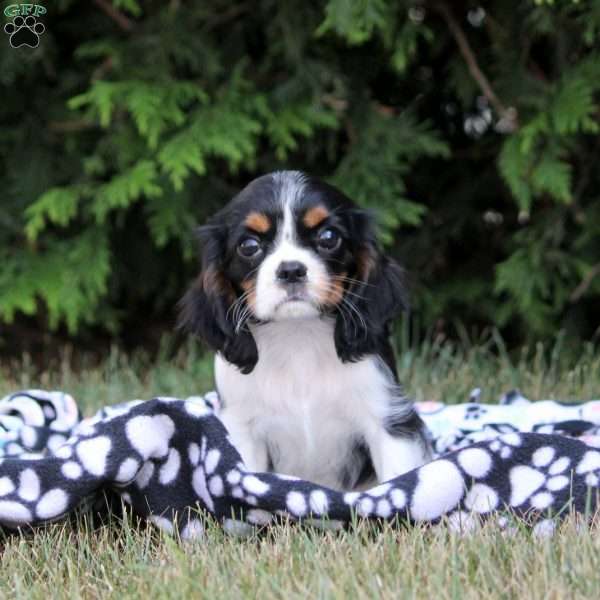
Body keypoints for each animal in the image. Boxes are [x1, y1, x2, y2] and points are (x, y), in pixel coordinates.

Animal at [179, 171, 432, 490]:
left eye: (328, 237)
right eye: (249, 246)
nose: (291, 270)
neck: (298, 335)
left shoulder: (388, 418)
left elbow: (397, 476)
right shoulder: (241, 429)